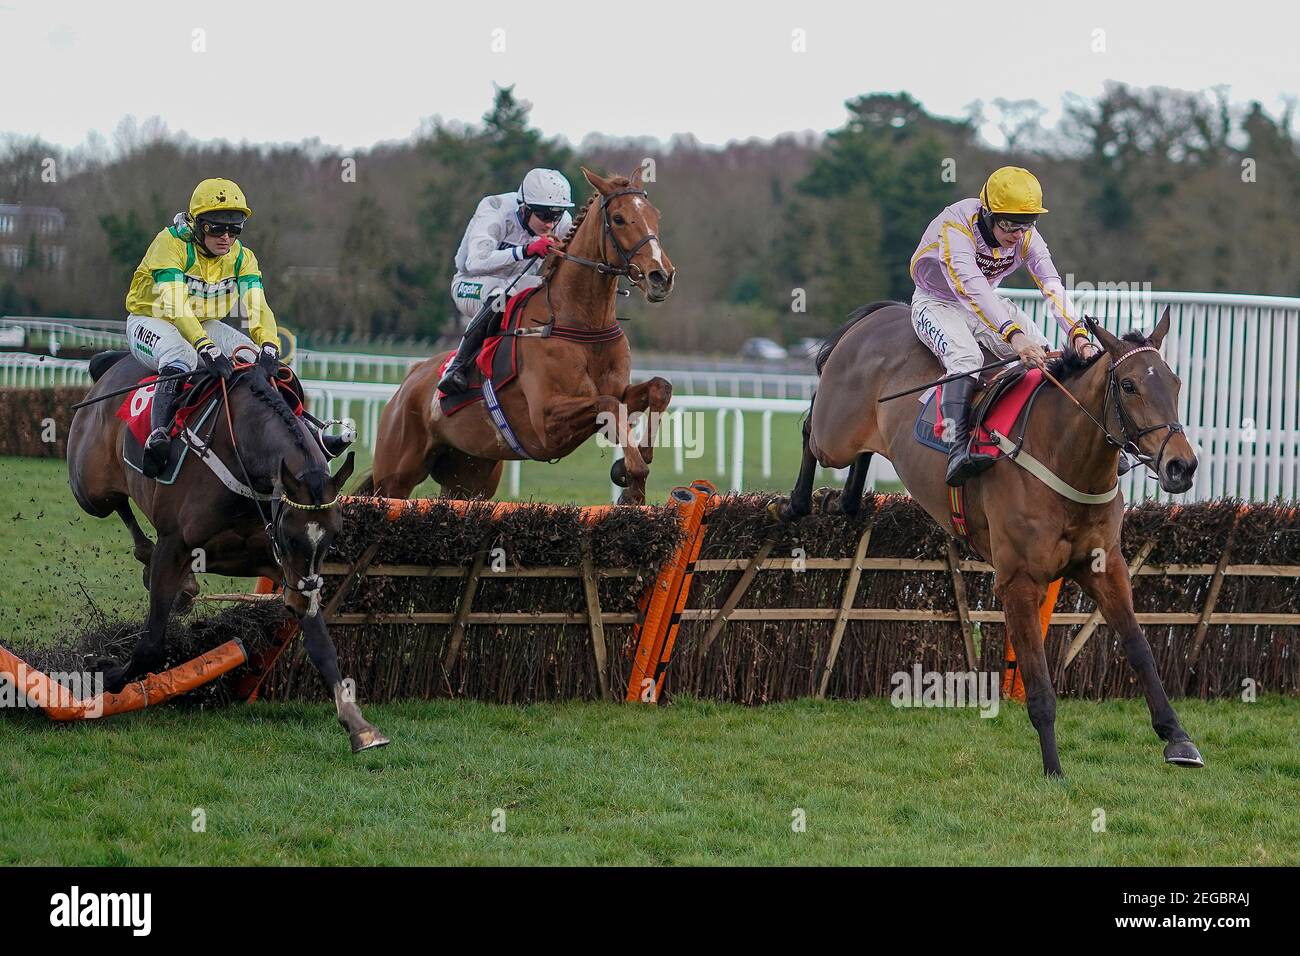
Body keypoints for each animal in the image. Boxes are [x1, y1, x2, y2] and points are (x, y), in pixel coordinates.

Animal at [65, 351, 387, 754]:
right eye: (290, 535)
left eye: (334, 534)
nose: (303, 597)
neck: (243, 457)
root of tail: (113, 362)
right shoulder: (175, 545)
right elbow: (151, 643)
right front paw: (106, 675)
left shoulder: (281, 565)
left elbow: (321, 644)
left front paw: (358, 724)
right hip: (89, 491)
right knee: (118, 505)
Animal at [361, 167, 676, 504]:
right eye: (618, 218)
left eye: (655, 215)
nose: (661, 276)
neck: (583, 326)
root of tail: (411, 379)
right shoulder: (546, 424)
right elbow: (608, 404)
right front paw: (632, 475)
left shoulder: (620, 392)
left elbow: (658, 388)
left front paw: (636, 468)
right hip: (395, 474)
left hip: (470, 476)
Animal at [774, 306, 1201, 780]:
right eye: (1128, 385)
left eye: (1175, 383)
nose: (1182, 466)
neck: (1064, 458)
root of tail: (881, 312)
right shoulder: (1019, 582)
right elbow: (1038, 681)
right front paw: (1053, 768)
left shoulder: (1105, 566)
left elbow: (1140, 649)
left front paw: (1177, 737)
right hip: (836, 434)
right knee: (811, 429)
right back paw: (793, 503)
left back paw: (844, 500)